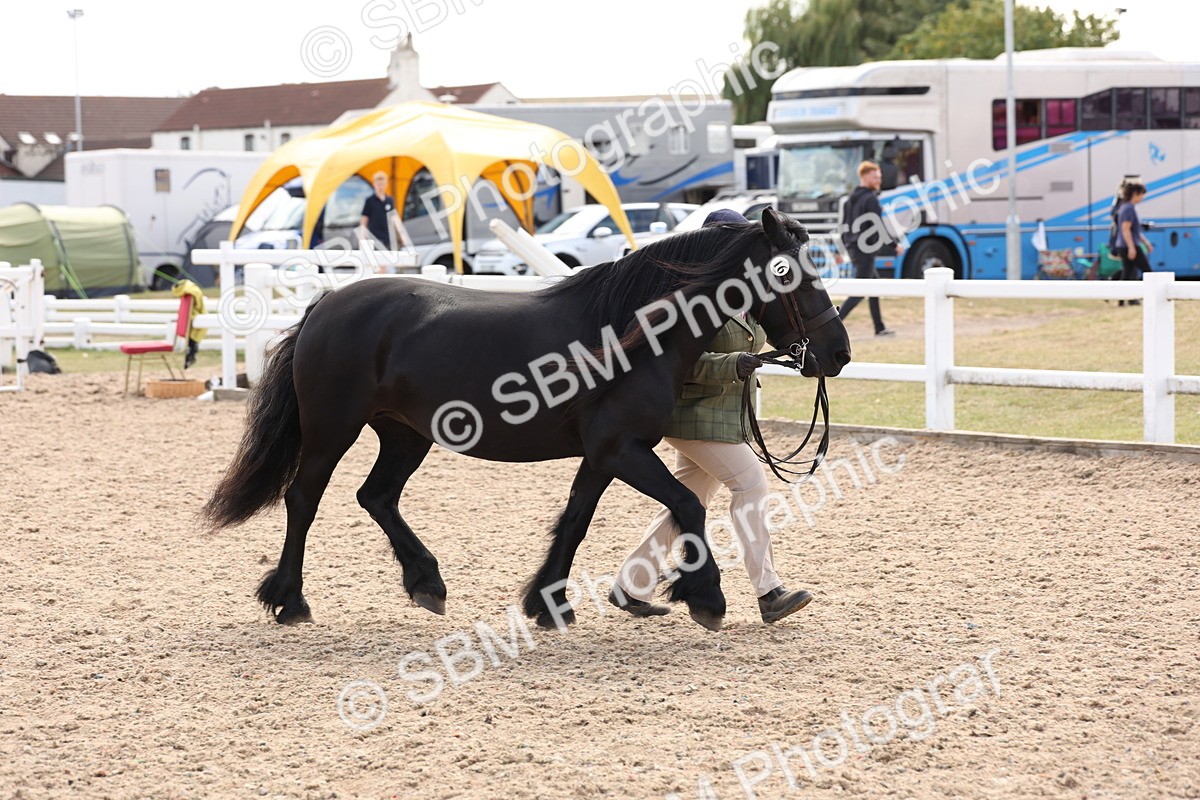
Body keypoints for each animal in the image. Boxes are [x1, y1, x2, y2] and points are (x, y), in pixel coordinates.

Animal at [202, 208, 851, 631]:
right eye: (792, 274)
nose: (838, 353)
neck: (631, 335)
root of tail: (325, 304)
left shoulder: (604, 455)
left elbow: (575, 521)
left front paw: (547, 603)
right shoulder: (622, 449)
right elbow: (688, 507)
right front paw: (707, 598)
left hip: (405, 435)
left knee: (377, 496)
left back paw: (427, 583)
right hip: (332, 430)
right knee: (304, 500)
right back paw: (290, 601)